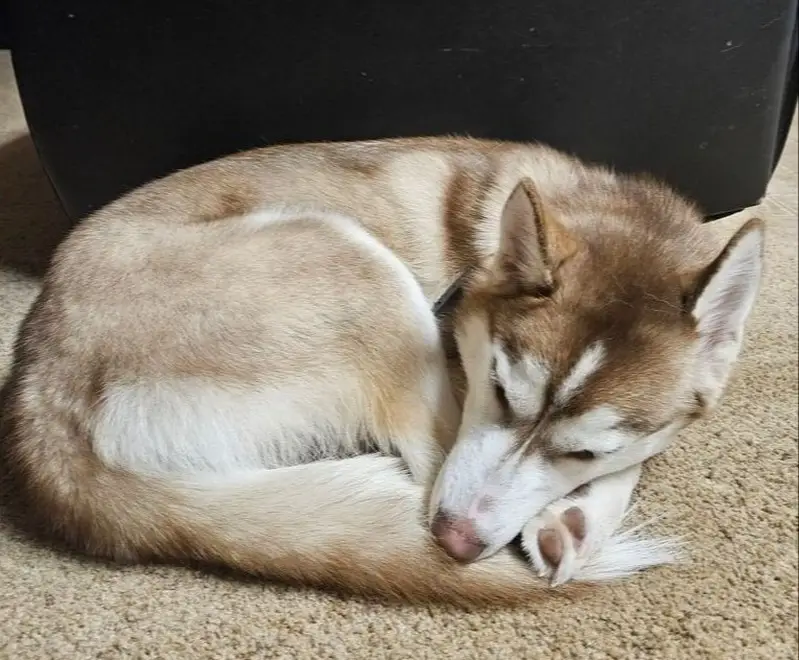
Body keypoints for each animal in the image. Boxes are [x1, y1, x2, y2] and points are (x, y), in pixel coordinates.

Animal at [1, 136, 764, 607]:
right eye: (496, 388)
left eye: (584, 450)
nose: (457, 542)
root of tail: (43, 399)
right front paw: (578, 513)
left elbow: (635, 451)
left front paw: (577, 510)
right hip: (353, 261)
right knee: (426, 457)